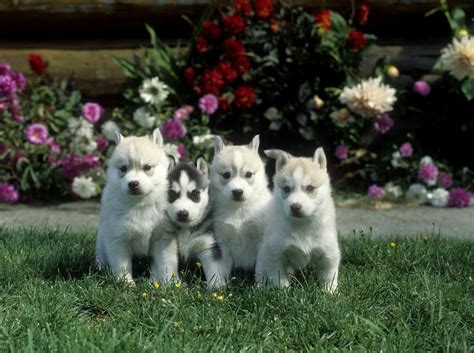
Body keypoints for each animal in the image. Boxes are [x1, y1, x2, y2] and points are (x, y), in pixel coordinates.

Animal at [96, 128, 178, 284]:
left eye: (147, 167)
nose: (133, 184)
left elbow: (165, 263)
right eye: (123, 168)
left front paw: (167, 283)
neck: (140, 203)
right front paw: (126, 284)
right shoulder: (117, 240)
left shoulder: (163, 238)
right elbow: (122, 266)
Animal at [167, 158, 226, 288]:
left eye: (194, 193)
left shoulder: (208, 246)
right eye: (172, 194)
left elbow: (214, 270)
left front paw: (216, 287)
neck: (185, 229)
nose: (183, 213)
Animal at [210, 134, 270, 280]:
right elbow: (218, 270)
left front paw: (261, 285)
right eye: (226, 175)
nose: (237, 192)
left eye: (248, 174)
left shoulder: (261, 242)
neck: (238, 209)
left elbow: (261, 269)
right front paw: (217, 285)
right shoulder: (222, 244)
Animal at [256, 146, 340, 292]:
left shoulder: (329, 253)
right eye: (286, 188)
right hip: (263, 253)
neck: (302, 225)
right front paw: (282, 292)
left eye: (310, 188)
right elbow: (279, 277)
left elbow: (329, 277)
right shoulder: (275, 253)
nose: (295, 206)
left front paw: (330, 293)